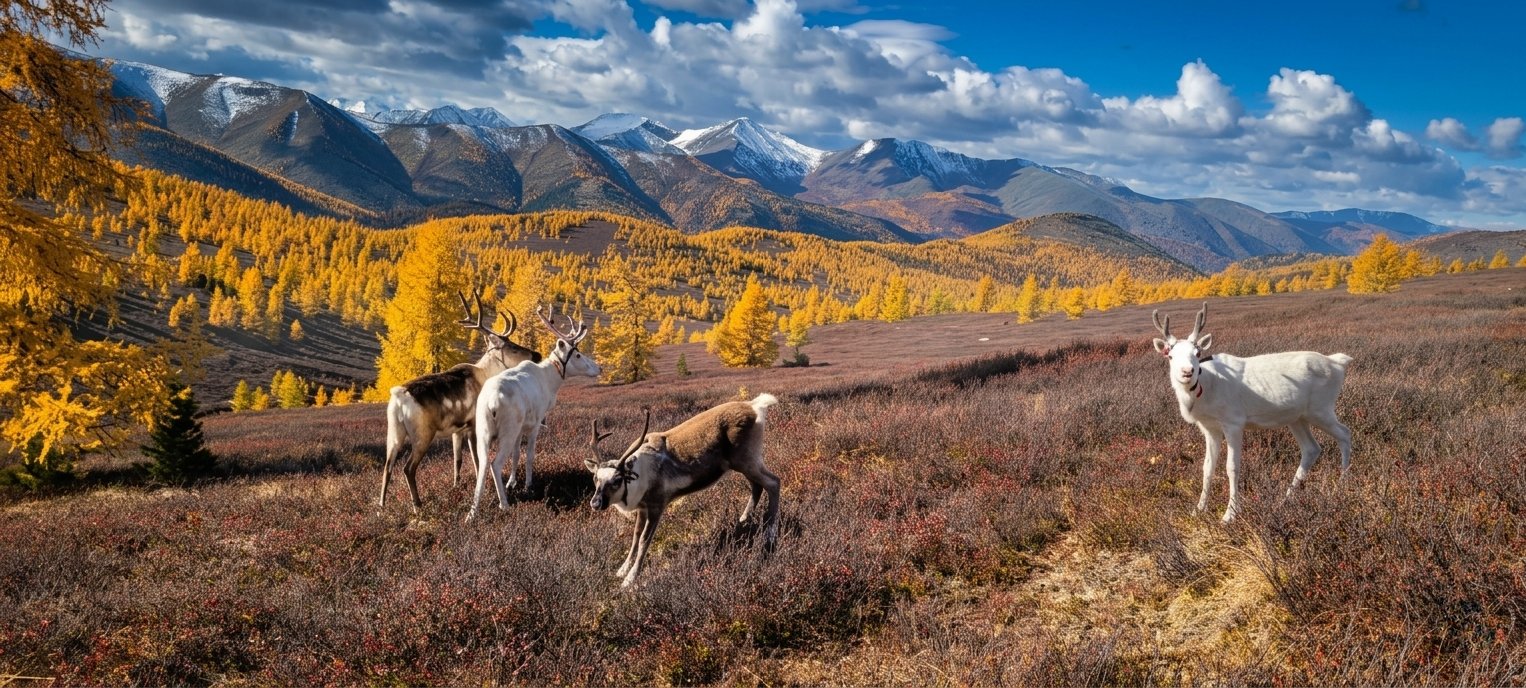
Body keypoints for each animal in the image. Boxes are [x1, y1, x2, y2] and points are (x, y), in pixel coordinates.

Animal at [379, 292, 541, 513]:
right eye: (513, 348)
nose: (537, 354)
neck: (485, 375)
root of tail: (398, 397)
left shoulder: (457, 430)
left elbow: (458, 460)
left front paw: (456, 486)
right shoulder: (473, 423)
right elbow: (477, 459)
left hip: (394, 432)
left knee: (387, 466)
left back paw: (381, 507)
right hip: (422, 433)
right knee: (407, 468)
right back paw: (417, 505)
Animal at [465, 306, 600, 521]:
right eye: (578, 355)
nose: (599, 367)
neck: (551, 382)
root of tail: (490, 403)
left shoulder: (521, 427)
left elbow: (516, 454)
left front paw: (512, 482)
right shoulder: (535, 423)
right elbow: (529, 455)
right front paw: (528, 485)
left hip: (483, 430)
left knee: (483, 463)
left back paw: (472, 511)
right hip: (507, 429)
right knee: (495, 463)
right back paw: (504, 505)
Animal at [586, 393, 781, 588]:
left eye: (617, 479)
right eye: (595, 478)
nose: (595, 503)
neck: (640, 474)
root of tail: (755, 405)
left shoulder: (657, 504)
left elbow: (644, 540)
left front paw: (630, 579)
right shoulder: (642, 508)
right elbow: (635, 537)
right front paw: (622, 570)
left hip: (747, 460)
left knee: (773, 483)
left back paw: (769, 535)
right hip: (743, 464)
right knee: (757, 486)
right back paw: (743, 520)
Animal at [1152, 302, 1353, 523]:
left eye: (1196, 354)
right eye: (1170, 355)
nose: (1187, 372)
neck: (1207, 389)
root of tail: (1339, 362)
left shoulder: (1233, 422)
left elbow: (1232, 467)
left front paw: (1230, 514)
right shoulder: (1209, 427)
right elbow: (1207, 467)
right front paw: (1198, 509)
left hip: (1321, 409)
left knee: (1345, 434)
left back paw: (1340, 488)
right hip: (1297, 417)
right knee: (1311, 448)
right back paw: (1285, 499)